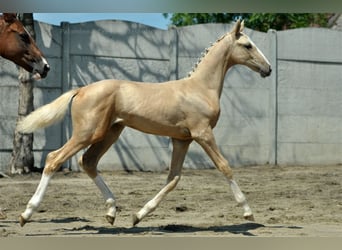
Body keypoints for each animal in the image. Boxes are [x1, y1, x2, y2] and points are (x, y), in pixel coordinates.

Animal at [18, 20, 272, 228]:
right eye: (248, 45)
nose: (268, 69)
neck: (200, 88)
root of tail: (81, 89)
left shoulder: (182, 139)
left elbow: (173, 178)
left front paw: (138, 216)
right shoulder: (202, 133)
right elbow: (224, 166)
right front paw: (248, 212)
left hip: (110, 132)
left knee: (88, 162)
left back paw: (112, 211)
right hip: (87, 133)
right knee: (54, 159)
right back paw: (26, 214)